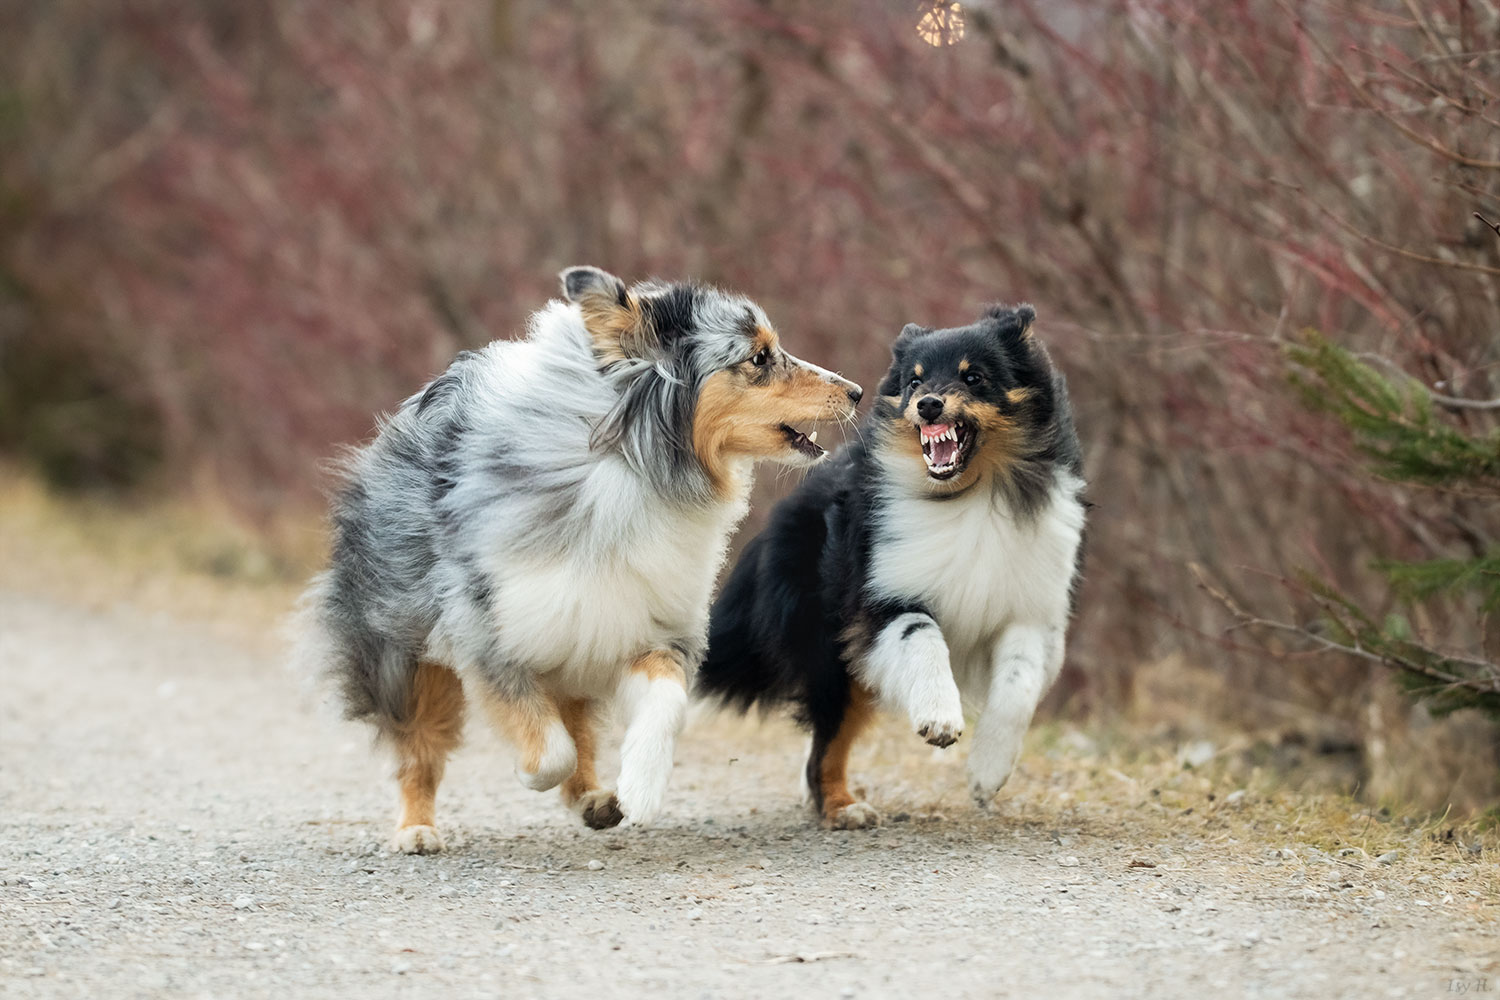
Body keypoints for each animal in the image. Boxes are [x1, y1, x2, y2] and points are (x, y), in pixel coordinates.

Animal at [696, 305, 1086, 827]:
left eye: (974, 376)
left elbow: (1018, 684)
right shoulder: (882, 596)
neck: (970, 493)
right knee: (827, 739)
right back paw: (843, 807)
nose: (929, 406)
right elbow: (922, 637)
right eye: (913, 381)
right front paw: (940, 718)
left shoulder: (1030, 609)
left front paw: (987, 773)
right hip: (830, 647)